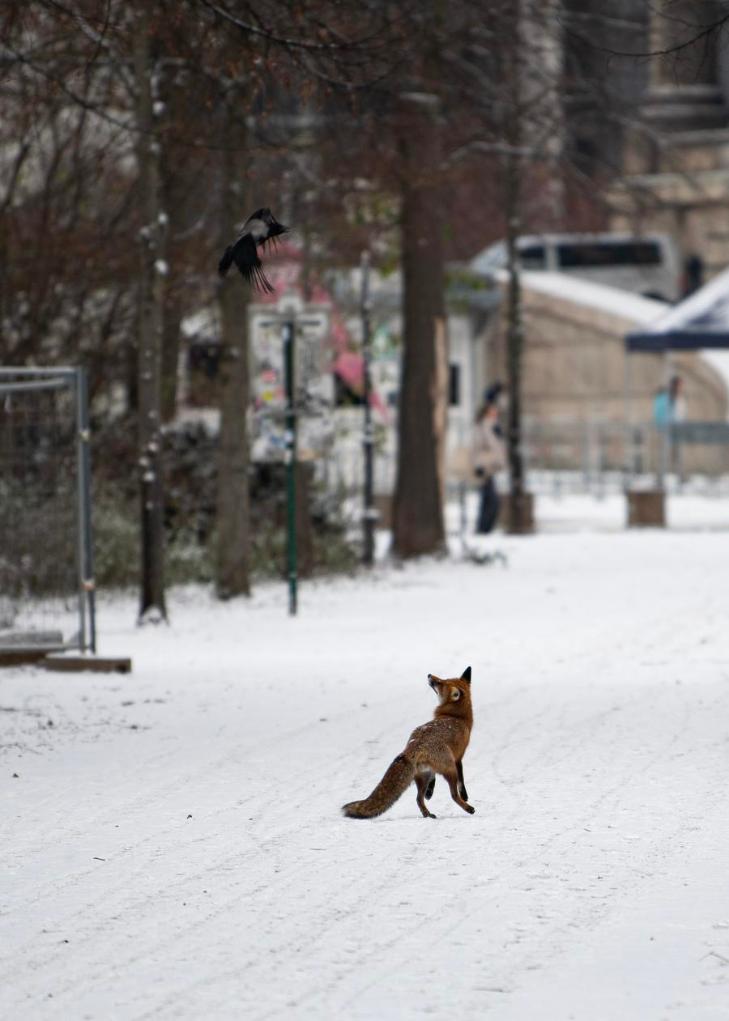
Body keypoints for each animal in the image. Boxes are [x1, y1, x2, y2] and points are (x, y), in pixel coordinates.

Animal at [342, 666, 475, 819]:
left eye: (440, 683)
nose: (429, 675)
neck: (457, 716)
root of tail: (414, 745)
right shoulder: (458, 758)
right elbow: (461, 780)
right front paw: (465, 795)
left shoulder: (438, 767)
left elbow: (435, 782)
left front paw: (430, 793)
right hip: (449, 770)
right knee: (453, 795)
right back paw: (468, 808)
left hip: (423, 775)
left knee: (418, 799)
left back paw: (427, 814)